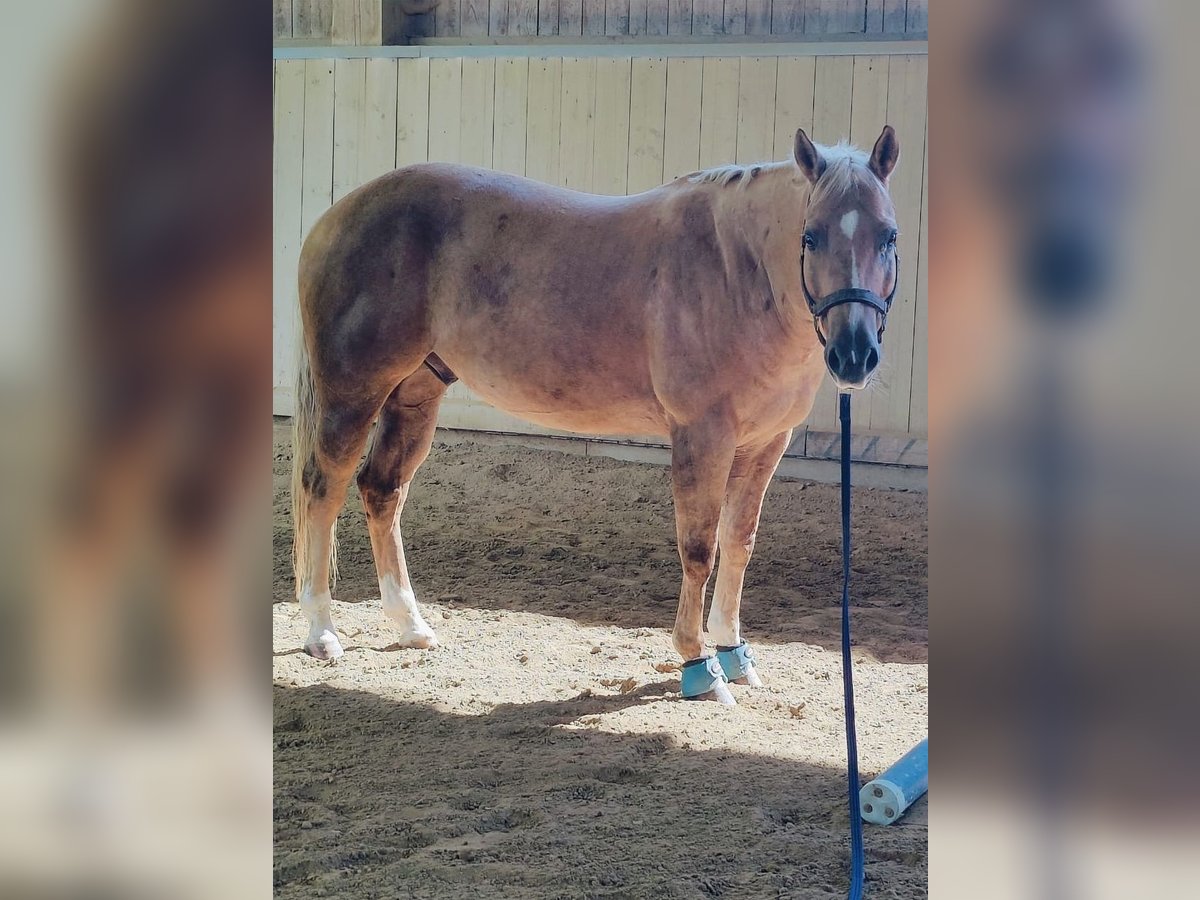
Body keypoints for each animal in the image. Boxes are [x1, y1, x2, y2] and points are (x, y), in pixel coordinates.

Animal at [290, 127, 902, 705]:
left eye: (889, 236)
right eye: (811, 236)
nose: (854, 354)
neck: (737, 273)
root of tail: (334, 218)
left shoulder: (765, 442)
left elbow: (739, 545)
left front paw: (735, 654)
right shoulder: (702, 436)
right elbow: (699, 549)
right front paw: (698, 666)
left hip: (415, 393)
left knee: (381, 489)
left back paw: (411, 625)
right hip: (352, 395)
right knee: (323, 489)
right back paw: (321, 632)